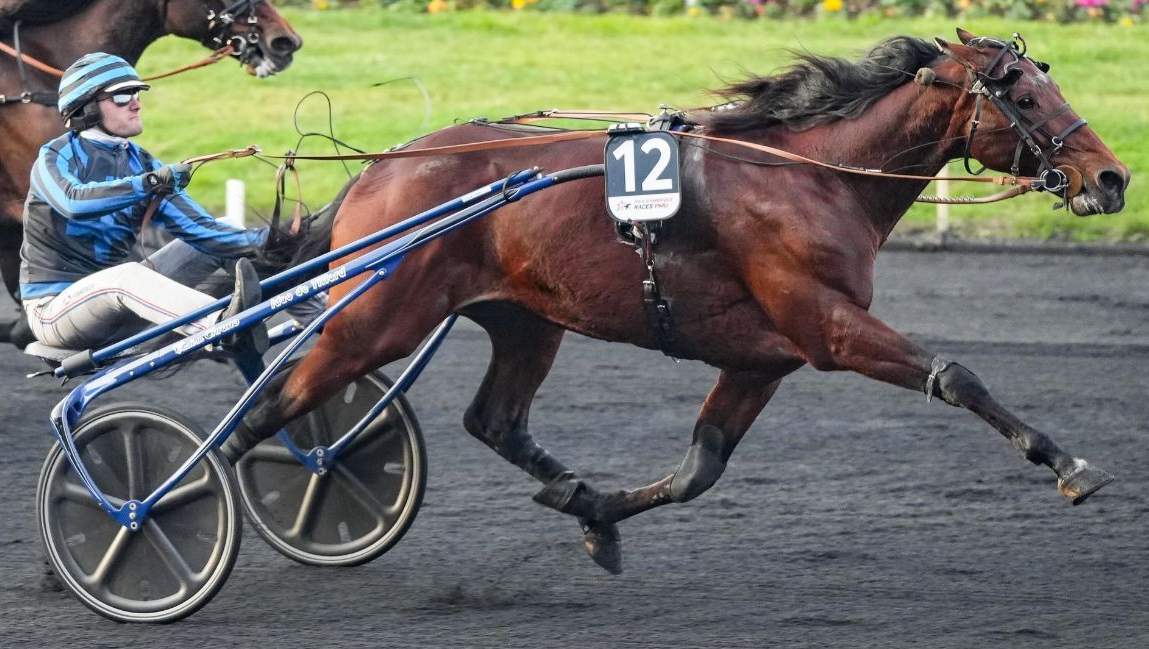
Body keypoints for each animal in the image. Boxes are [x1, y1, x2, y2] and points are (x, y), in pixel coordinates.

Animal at [228, 30, 1126, 572]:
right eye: (1022, 93)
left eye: (1044, 82)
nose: (1112, 176)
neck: (813, 177)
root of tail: (379, 170)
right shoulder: (826, 325)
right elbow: (954, 374)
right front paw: (1068, 464)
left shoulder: (761, 356)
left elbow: (700, 467)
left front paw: (596, 510)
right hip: (373, 320)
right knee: (267, 411)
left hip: (525, 318)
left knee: (494, 419)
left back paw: (566, 486)